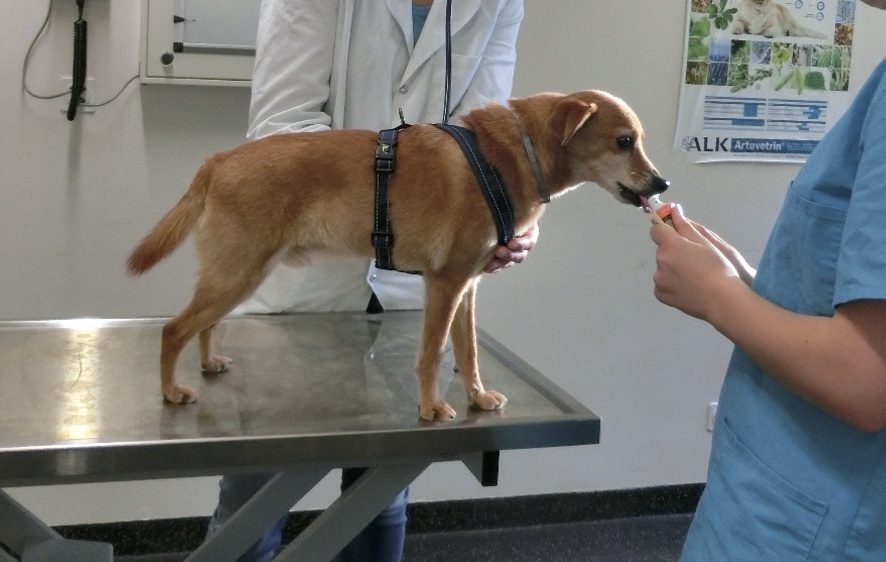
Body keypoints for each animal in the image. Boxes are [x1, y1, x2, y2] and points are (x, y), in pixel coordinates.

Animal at [127, 89, 668, 421]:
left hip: (235, 274)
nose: (662, 184)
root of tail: (218, 160)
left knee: (204, 325)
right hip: (238, 272)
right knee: (174, 329)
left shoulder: (467, 286)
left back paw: (209, 362)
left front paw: (476, 396)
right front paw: (430, 406)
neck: (512, 154)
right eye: (625, 141)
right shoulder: (444, 284)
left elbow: (468, 352)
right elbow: (430, 354)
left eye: (638, 141)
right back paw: (170, 391)